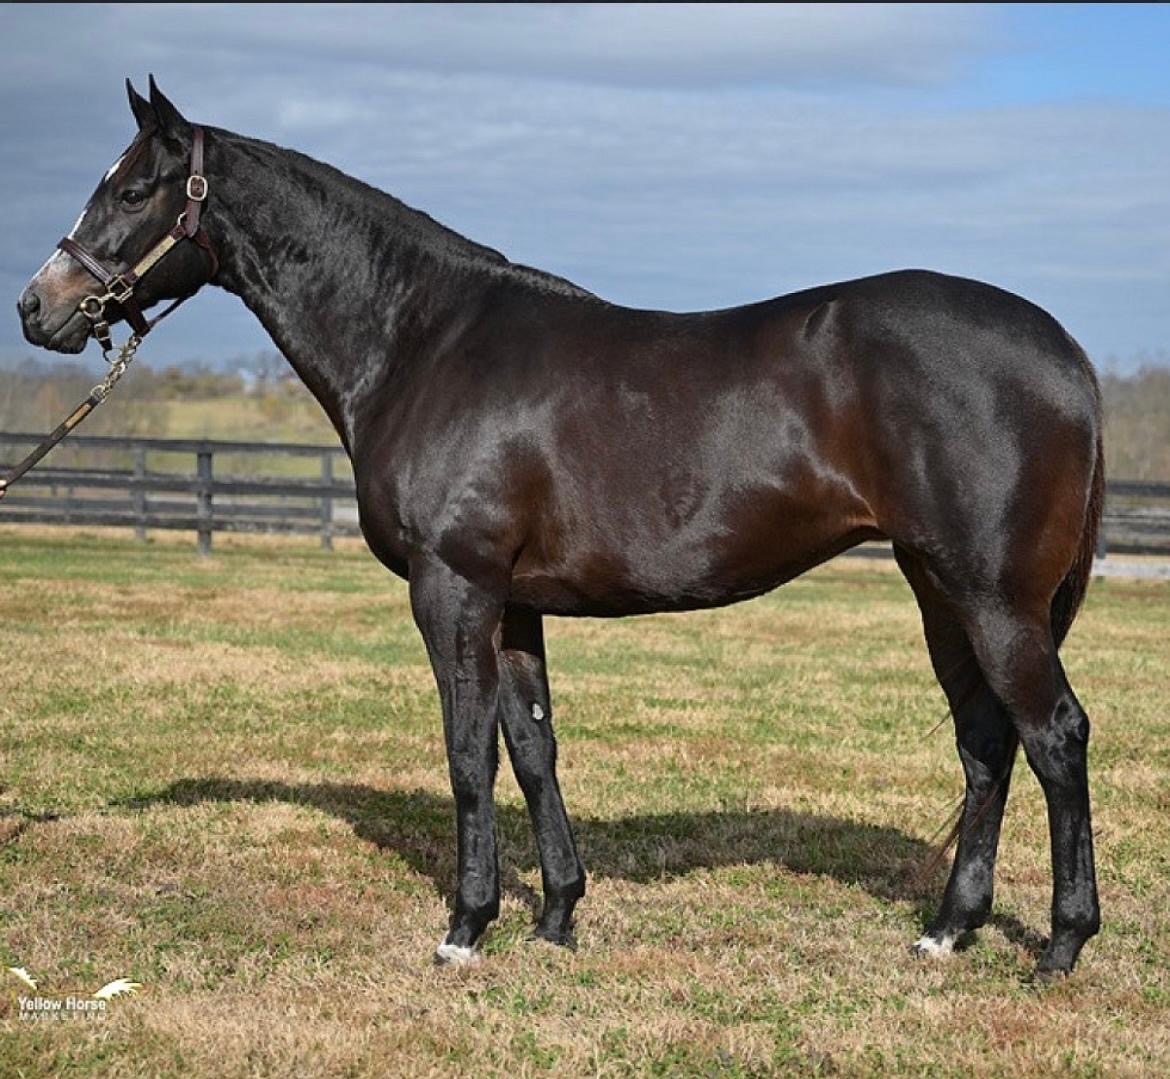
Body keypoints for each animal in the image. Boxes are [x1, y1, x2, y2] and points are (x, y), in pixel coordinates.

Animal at [16, 79, 1103, 975]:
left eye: (130, 191)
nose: (38, 307)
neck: (421, 341)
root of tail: (1066, 354)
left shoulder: (452, 588)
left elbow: (468, 754)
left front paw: (465, 927)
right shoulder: (515, 603)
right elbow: (533, 747)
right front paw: (556, 915)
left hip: (994, 599)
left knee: (1053, 734)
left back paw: (1060, 944)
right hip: (937, 587)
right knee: (985, 741)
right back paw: (948, 928)